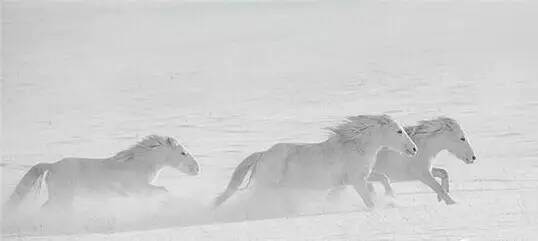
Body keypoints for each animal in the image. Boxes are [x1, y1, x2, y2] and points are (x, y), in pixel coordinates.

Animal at [2, 135, 199, 212]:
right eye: (183, 153)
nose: (197, 169)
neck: (138, 164)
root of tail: (52, 166)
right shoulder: (138, 188)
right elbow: (163, 190)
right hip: (63, 197)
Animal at [211, 114, 416, 208]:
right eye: (399, 131)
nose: (414, 149)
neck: (355, 147)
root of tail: (262, 155)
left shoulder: (359, 177)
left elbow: (384, 178)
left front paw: (391, 197)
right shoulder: (357, 181)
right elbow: (369, 201)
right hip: (266, 185)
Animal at [328, 116, 476, 203]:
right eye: (462, 138)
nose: (473, 157)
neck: (422, 148)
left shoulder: (425, 170)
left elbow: (444, 173)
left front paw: (441, 198)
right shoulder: (422, 174)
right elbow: (437, 186)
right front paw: (451, 202)